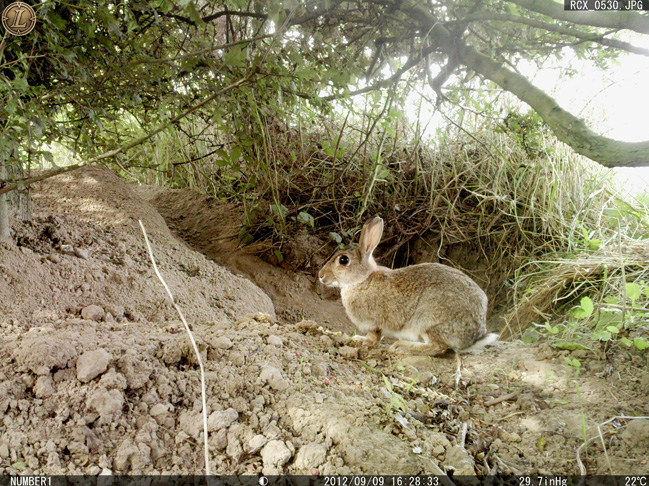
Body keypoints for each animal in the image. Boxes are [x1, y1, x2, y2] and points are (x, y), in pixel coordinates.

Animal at [316, 215, 494, 356]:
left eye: (343, 260)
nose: (321, 275)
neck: (363, 280)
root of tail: (475, 334)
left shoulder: (373, 323)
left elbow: (373, 337)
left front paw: (360, 340)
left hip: (429, 320)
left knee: (438, 347)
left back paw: (401, 346)